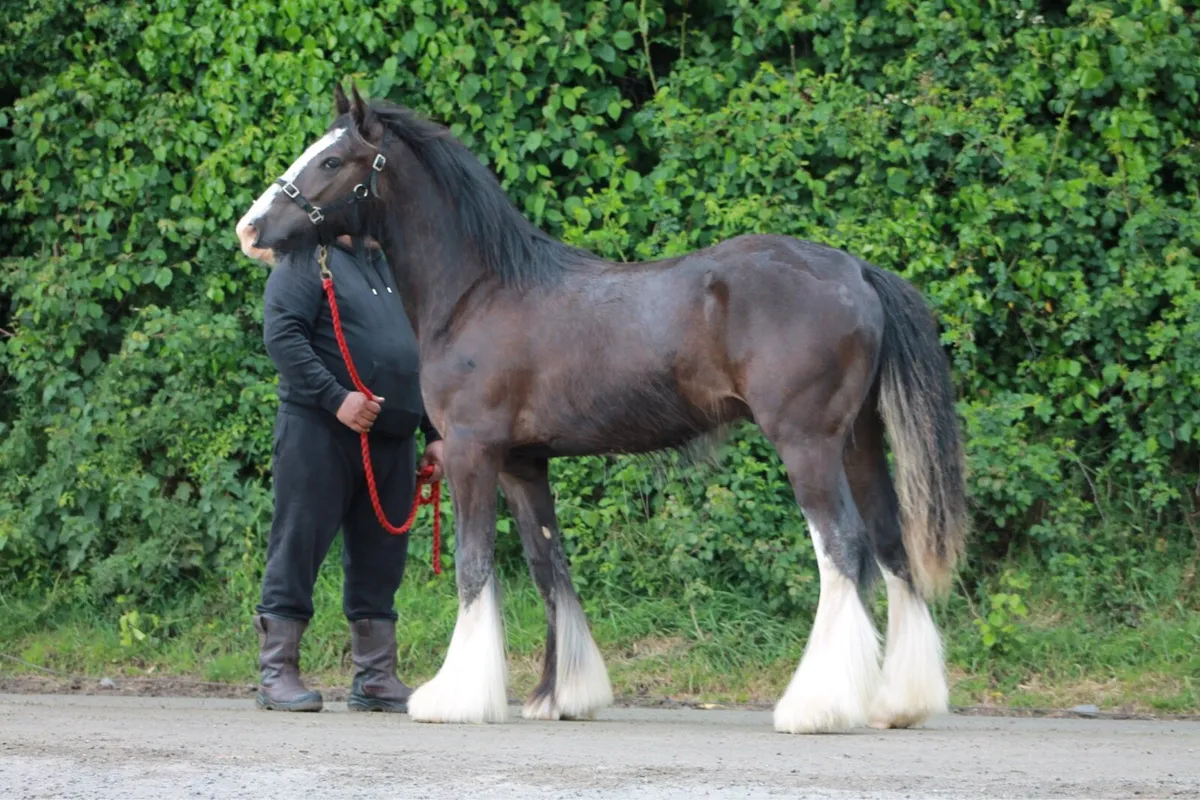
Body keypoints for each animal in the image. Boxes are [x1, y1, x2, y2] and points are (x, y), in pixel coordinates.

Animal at [234, 83, 969, 734]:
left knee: (843, 549)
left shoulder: (473, 453)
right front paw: (558, 696)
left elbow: (474, 568)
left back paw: (816, 707)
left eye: (332, 161)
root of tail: (855, 271)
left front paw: (456, 696)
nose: (251, 228)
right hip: (860, 443)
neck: (480, 290)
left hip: (808, 445)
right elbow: (548, 566)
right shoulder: (524, 464)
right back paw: (898, 704)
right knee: (891, 545)